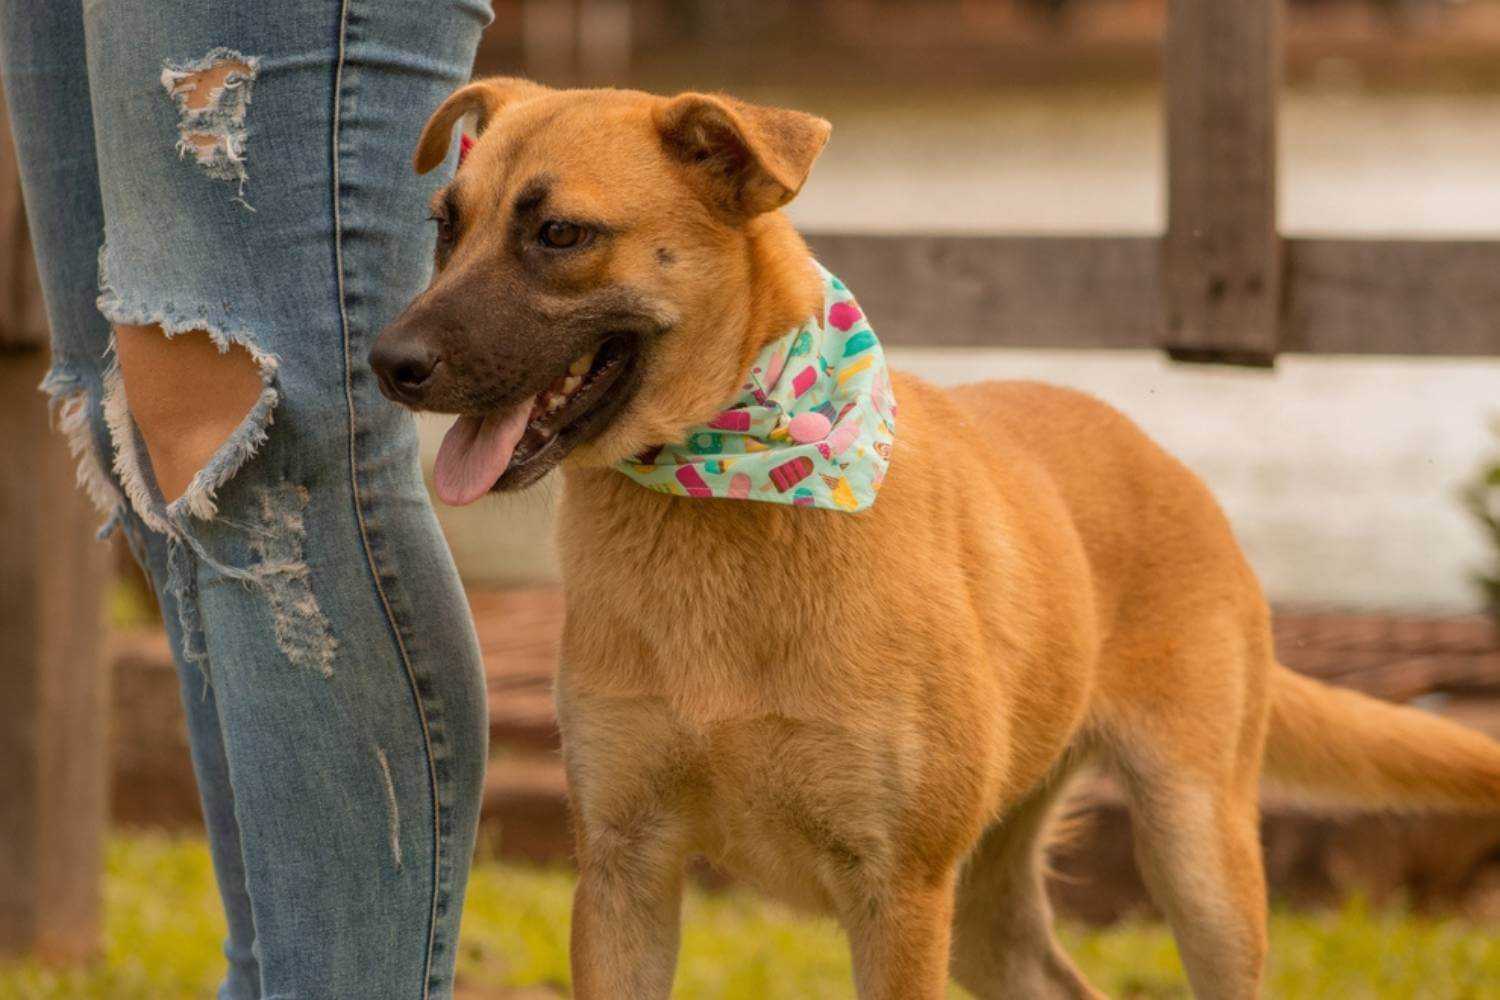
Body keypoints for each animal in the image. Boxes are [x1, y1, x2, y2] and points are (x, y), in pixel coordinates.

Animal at [372, 80, 1500, 1000]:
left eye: (562, 233)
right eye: (444, 227)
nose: (388, 362)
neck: (724, 499)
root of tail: (1165, 460)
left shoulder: (899, 888)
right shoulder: (624, 871)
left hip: (1197, 851)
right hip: (995, 903)